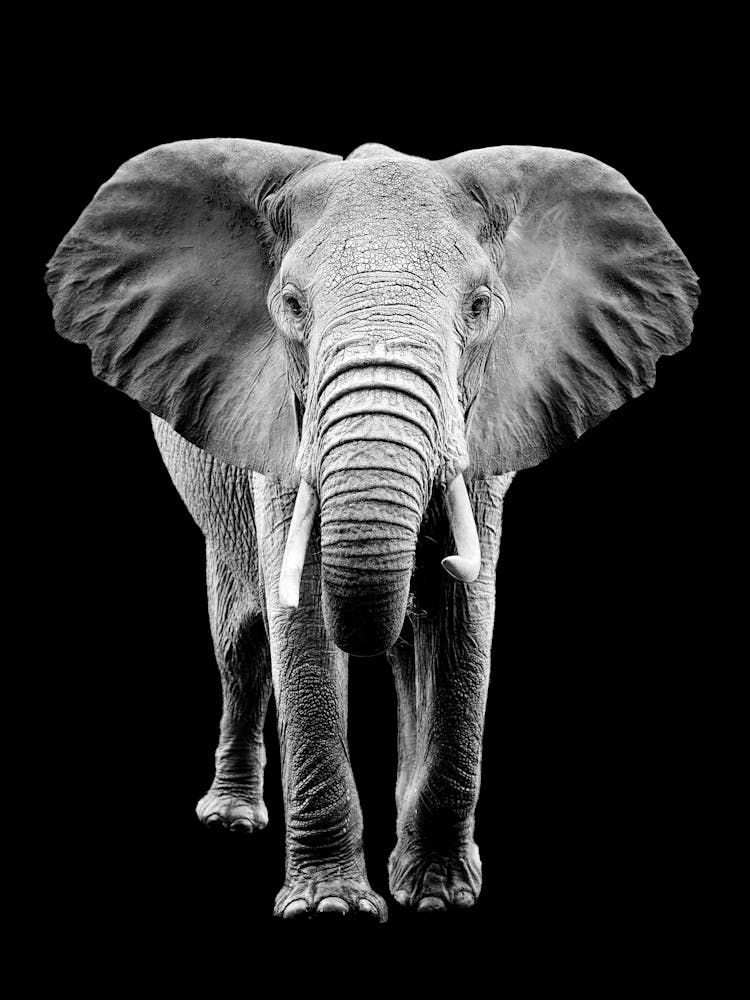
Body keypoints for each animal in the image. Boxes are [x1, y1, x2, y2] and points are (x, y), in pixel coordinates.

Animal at [46, 139, 699, 922]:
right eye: (290, 306)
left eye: (480, 308)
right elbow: (299, 621)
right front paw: (331, 908)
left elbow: (464, 620)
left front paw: (440, 896)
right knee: (241, 638)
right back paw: (231, 820)